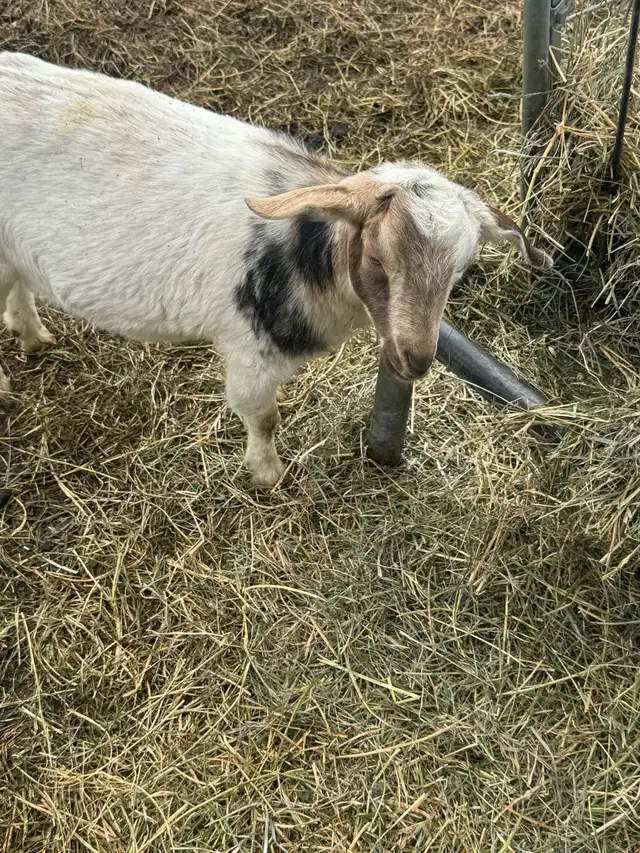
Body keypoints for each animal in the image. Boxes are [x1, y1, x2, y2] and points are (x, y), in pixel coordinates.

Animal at [0, 52, 552, 486]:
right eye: (378, 257)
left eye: (461, 271)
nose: (415, 361)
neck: (307, 249)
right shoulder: (250, 349)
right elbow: (263, 417)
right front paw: (269, 476)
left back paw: (33, 337)